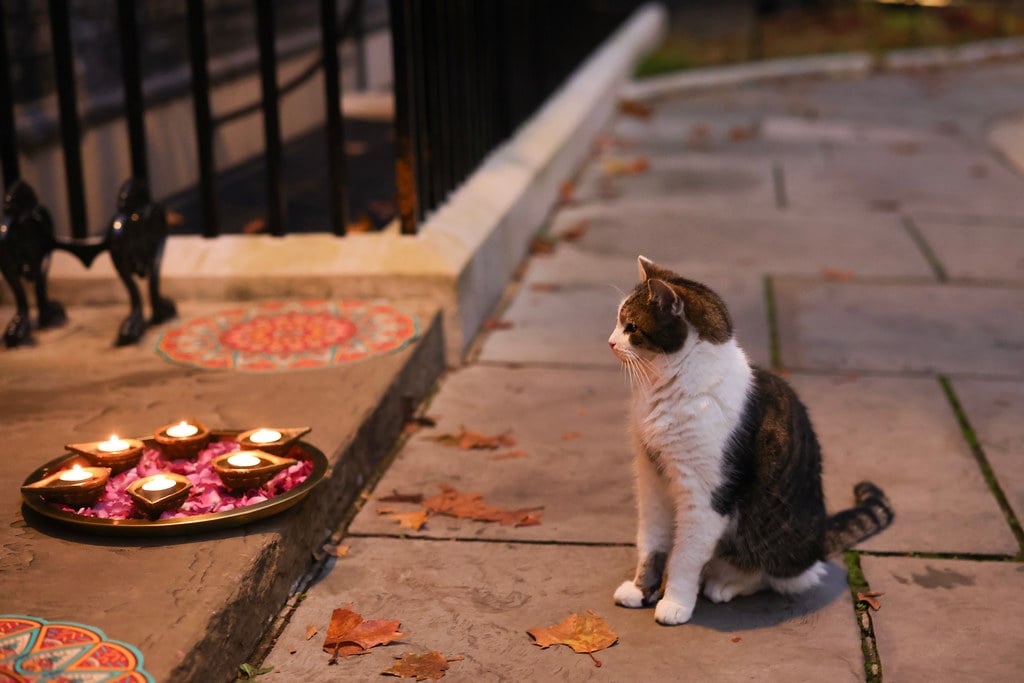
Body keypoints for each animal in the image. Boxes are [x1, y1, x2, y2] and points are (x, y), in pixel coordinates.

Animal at [606, 254, 888, 626]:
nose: (610, 342)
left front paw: (675, 603)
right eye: (619, 322)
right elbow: (651, 542)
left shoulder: (704, 495)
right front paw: (642, 591)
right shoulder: (652, 479)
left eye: (632, 327)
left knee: (782, 576)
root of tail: (819, 538)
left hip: (775, 542)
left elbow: (684, 555)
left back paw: (724, 584)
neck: (666, 386)